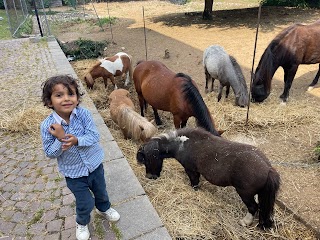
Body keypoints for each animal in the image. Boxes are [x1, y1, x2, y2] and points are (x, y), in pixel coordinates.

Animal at [137, 127, 280, 229]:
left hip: (245, 194)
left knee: (253, 207)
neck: (182, 144)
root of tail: (268, 168)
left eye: (147, 160)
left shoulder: (191, 170)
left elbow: (194, 182)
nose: (149, 177)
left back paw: (245, 222)